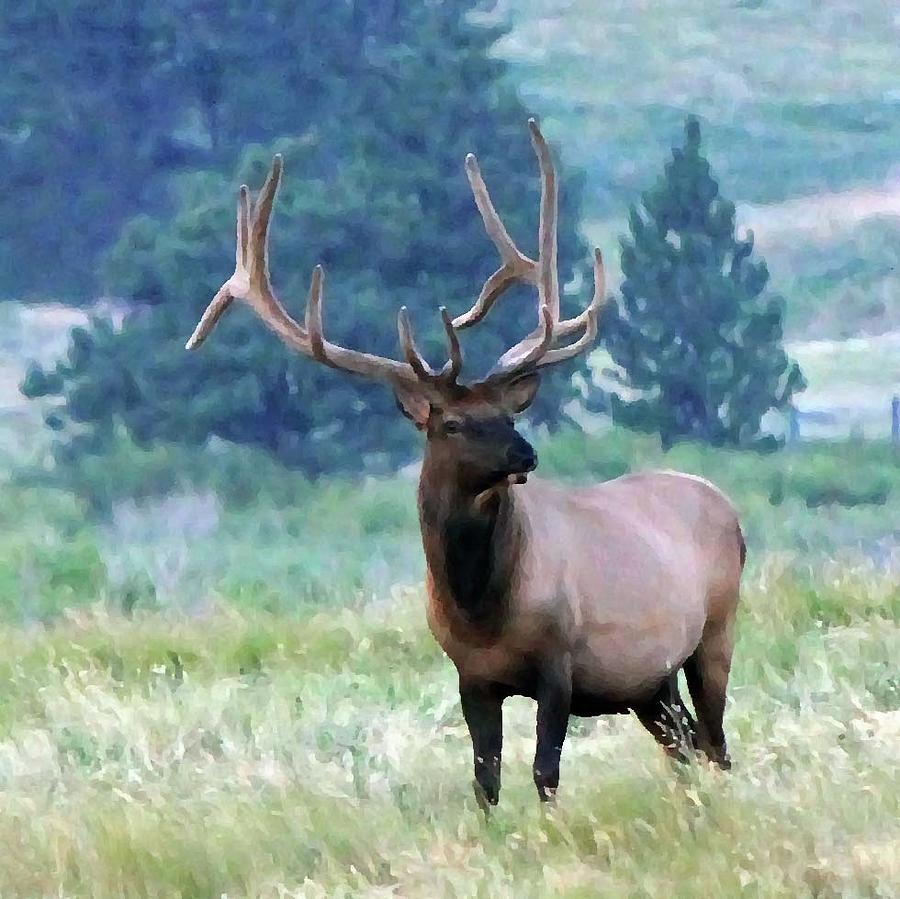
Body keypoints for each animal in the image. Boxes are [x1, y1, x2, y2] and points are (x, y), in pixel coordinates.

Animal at [185, 121, 744, 808]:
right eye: (451, 423)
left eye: (507, 413)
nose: (526, 455)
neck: (481, 610)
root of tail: (725, 505)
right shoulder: (469, 675)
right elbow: (485, 780)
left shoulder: (560, 660)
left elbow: (545, 774)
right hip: (648, 681)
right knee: (687, 744)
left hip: (714, 631)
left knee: (715, 744)